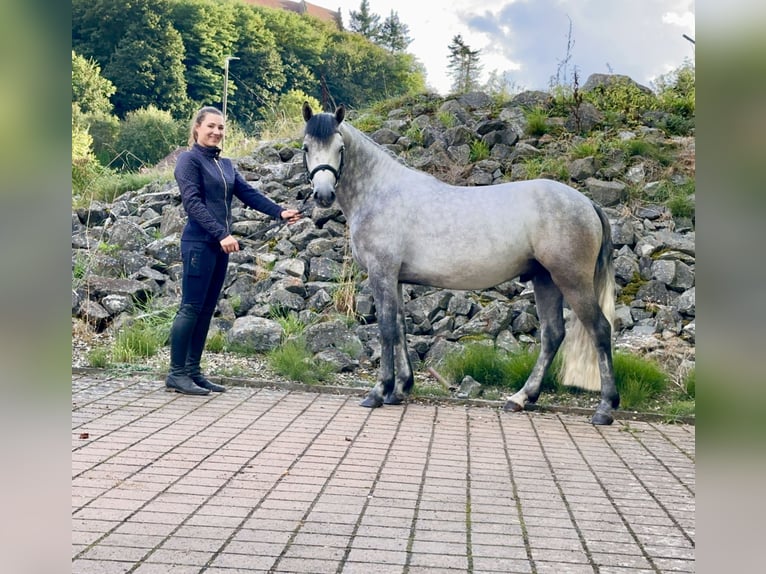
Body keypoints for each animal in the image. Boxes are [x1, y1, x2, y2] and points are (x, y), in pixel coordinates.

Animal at [304, 102, 620, 428]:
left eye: (340, 148)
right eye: (306, 147)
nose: (323, 195)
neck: (381, 193)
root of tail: (587, 203)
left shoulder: (382, 273)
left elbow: (387, 329)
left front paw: (379, 392)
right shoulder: (396, 279)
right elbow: (401, 328)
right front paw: (401, 389)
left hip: (571, 280)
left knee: (599, 330)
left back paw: (604, 408)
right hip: (545, 279)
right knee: (553, 334)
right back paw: (521, 398)